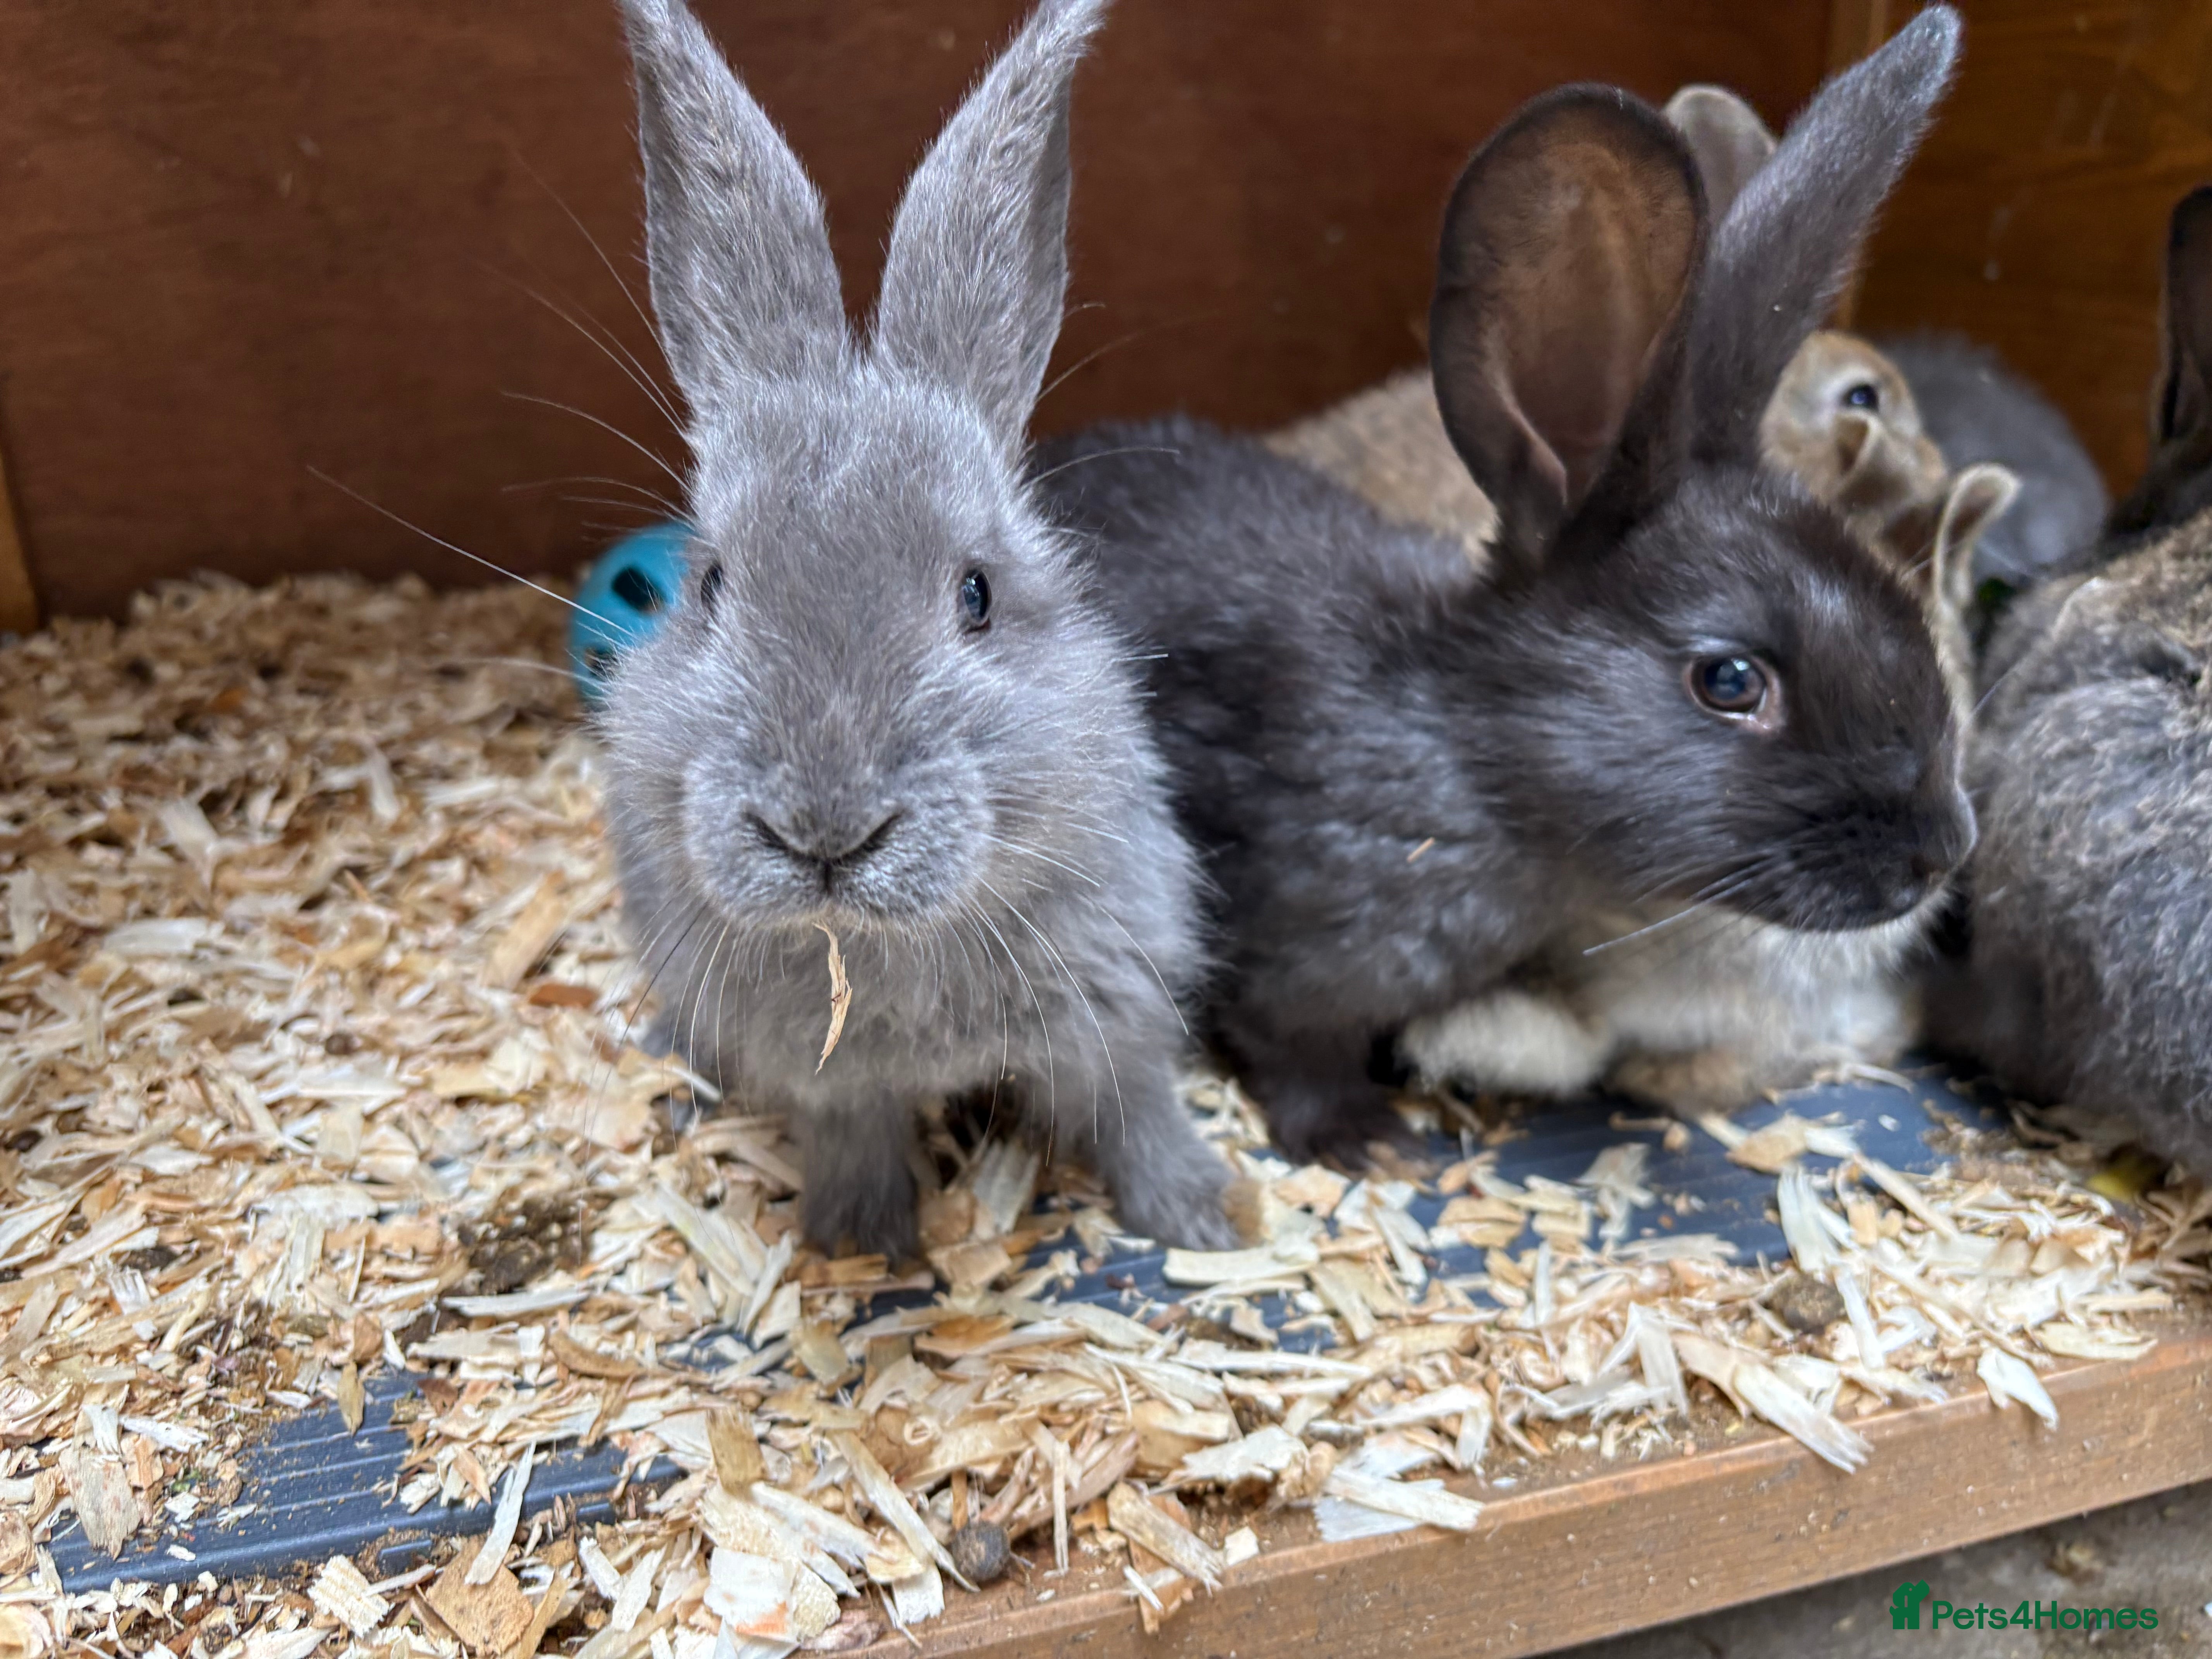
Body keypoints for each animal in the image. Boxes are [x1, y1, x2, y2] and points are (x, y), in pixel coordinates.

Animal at [598, 0, 1238, 1256]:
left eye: (976, 594)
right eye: (710, 587)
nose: (826, 834)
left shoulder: (1119, 996)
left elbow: (1136, 1107)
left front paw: (1201, 1219)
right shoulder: (827, 1077)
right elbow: (851, 1136)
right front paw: (859, 1244)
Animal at [1038, 10, 1973, 1160]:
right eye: (1731, 682)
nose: (1941, 854)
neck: (1468, 753)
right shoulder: (1283, 951)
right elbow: (1290, 1043)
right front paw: (1362, 1138)